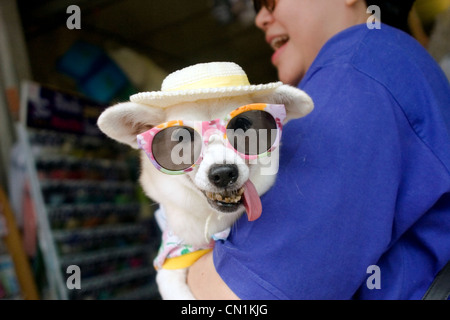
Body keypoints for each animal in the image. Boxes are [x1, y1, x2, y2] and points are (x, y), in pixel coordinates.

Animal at [96, 62, 312, 300]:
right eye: (180, 137)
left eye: (242, 124)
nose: (224, 173)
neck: (215, 221)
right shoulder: (171, 258)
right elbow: (172, 287)